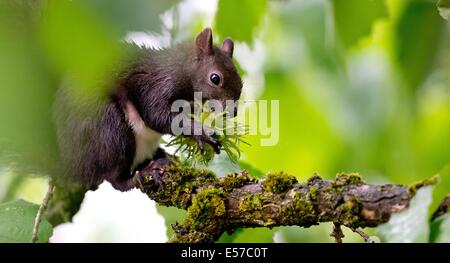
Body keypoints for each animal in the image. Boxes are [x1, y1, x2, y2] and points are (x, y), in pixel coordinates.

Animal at [55, 27, 244, 192]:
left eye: (241, 83)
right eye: (215, 78)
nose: (233, 112)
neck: (177, 70)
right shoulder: (154, 86)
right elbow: (156, 116)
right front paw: (201, 132)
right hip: (109, 129)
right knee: (116, 179)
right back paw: (144, 173)